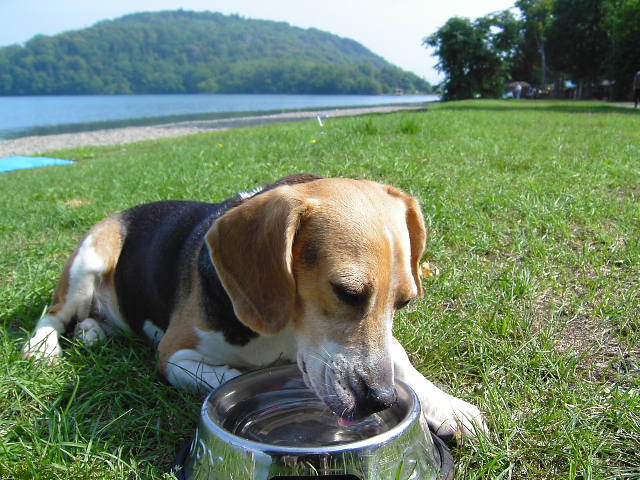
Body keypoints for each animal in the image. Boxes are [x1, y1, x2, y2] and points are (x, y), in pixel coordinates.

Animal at [25, 174, 484, 440]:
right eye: (345, 292)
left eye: (404, 302)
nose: (380, 399)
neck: (285, 333)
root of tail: (121, 213)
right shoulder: (172, 354)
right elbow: (224, 377)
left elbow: (400, 358)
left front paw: (447, 406)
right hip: (89, 260)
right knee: (53, 313)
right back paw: (41, 348)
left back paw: (92, 331)